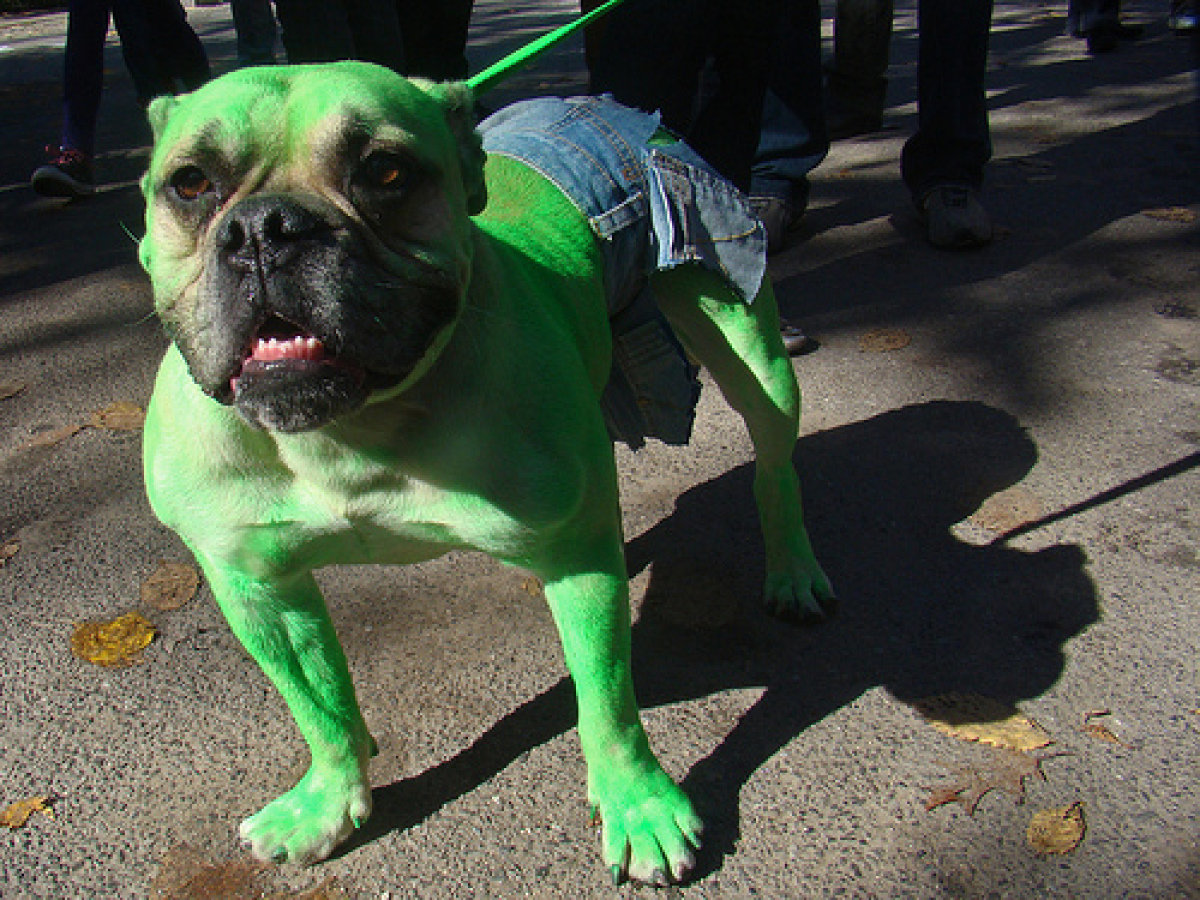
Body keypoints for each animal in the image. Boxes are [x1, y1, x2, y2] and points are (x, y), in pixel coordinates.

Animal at [138, 63, 835, 888]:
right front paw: (329, 800)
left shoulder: (575, 562)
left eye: (385, 171)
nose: (265, 229)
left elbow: (606, 700)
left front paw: (639, 804)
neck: (350, 433)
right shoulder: (257, 587)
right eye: (189, 183)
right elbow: (321, 706)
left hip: (744, 338)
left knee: (774, 463)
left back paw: (794, 570)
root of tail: (593, 104)